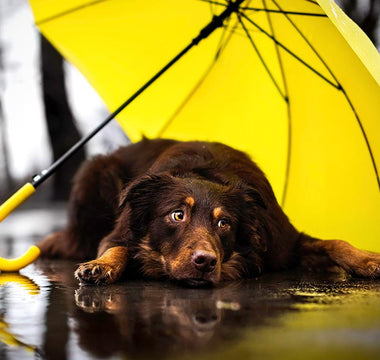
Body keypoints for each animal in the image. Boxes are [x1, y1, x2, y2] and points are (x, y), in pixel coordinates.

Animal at [37, 138, 380, 286]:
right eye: (177, 215)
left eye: (224, 223)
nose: (205, 262)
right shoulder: (119, 231)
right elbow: (117, 247)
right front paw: (101, 265)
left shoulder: (285, 242)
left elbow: (334, 242)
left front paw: (366, 259)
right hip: (96, 171)